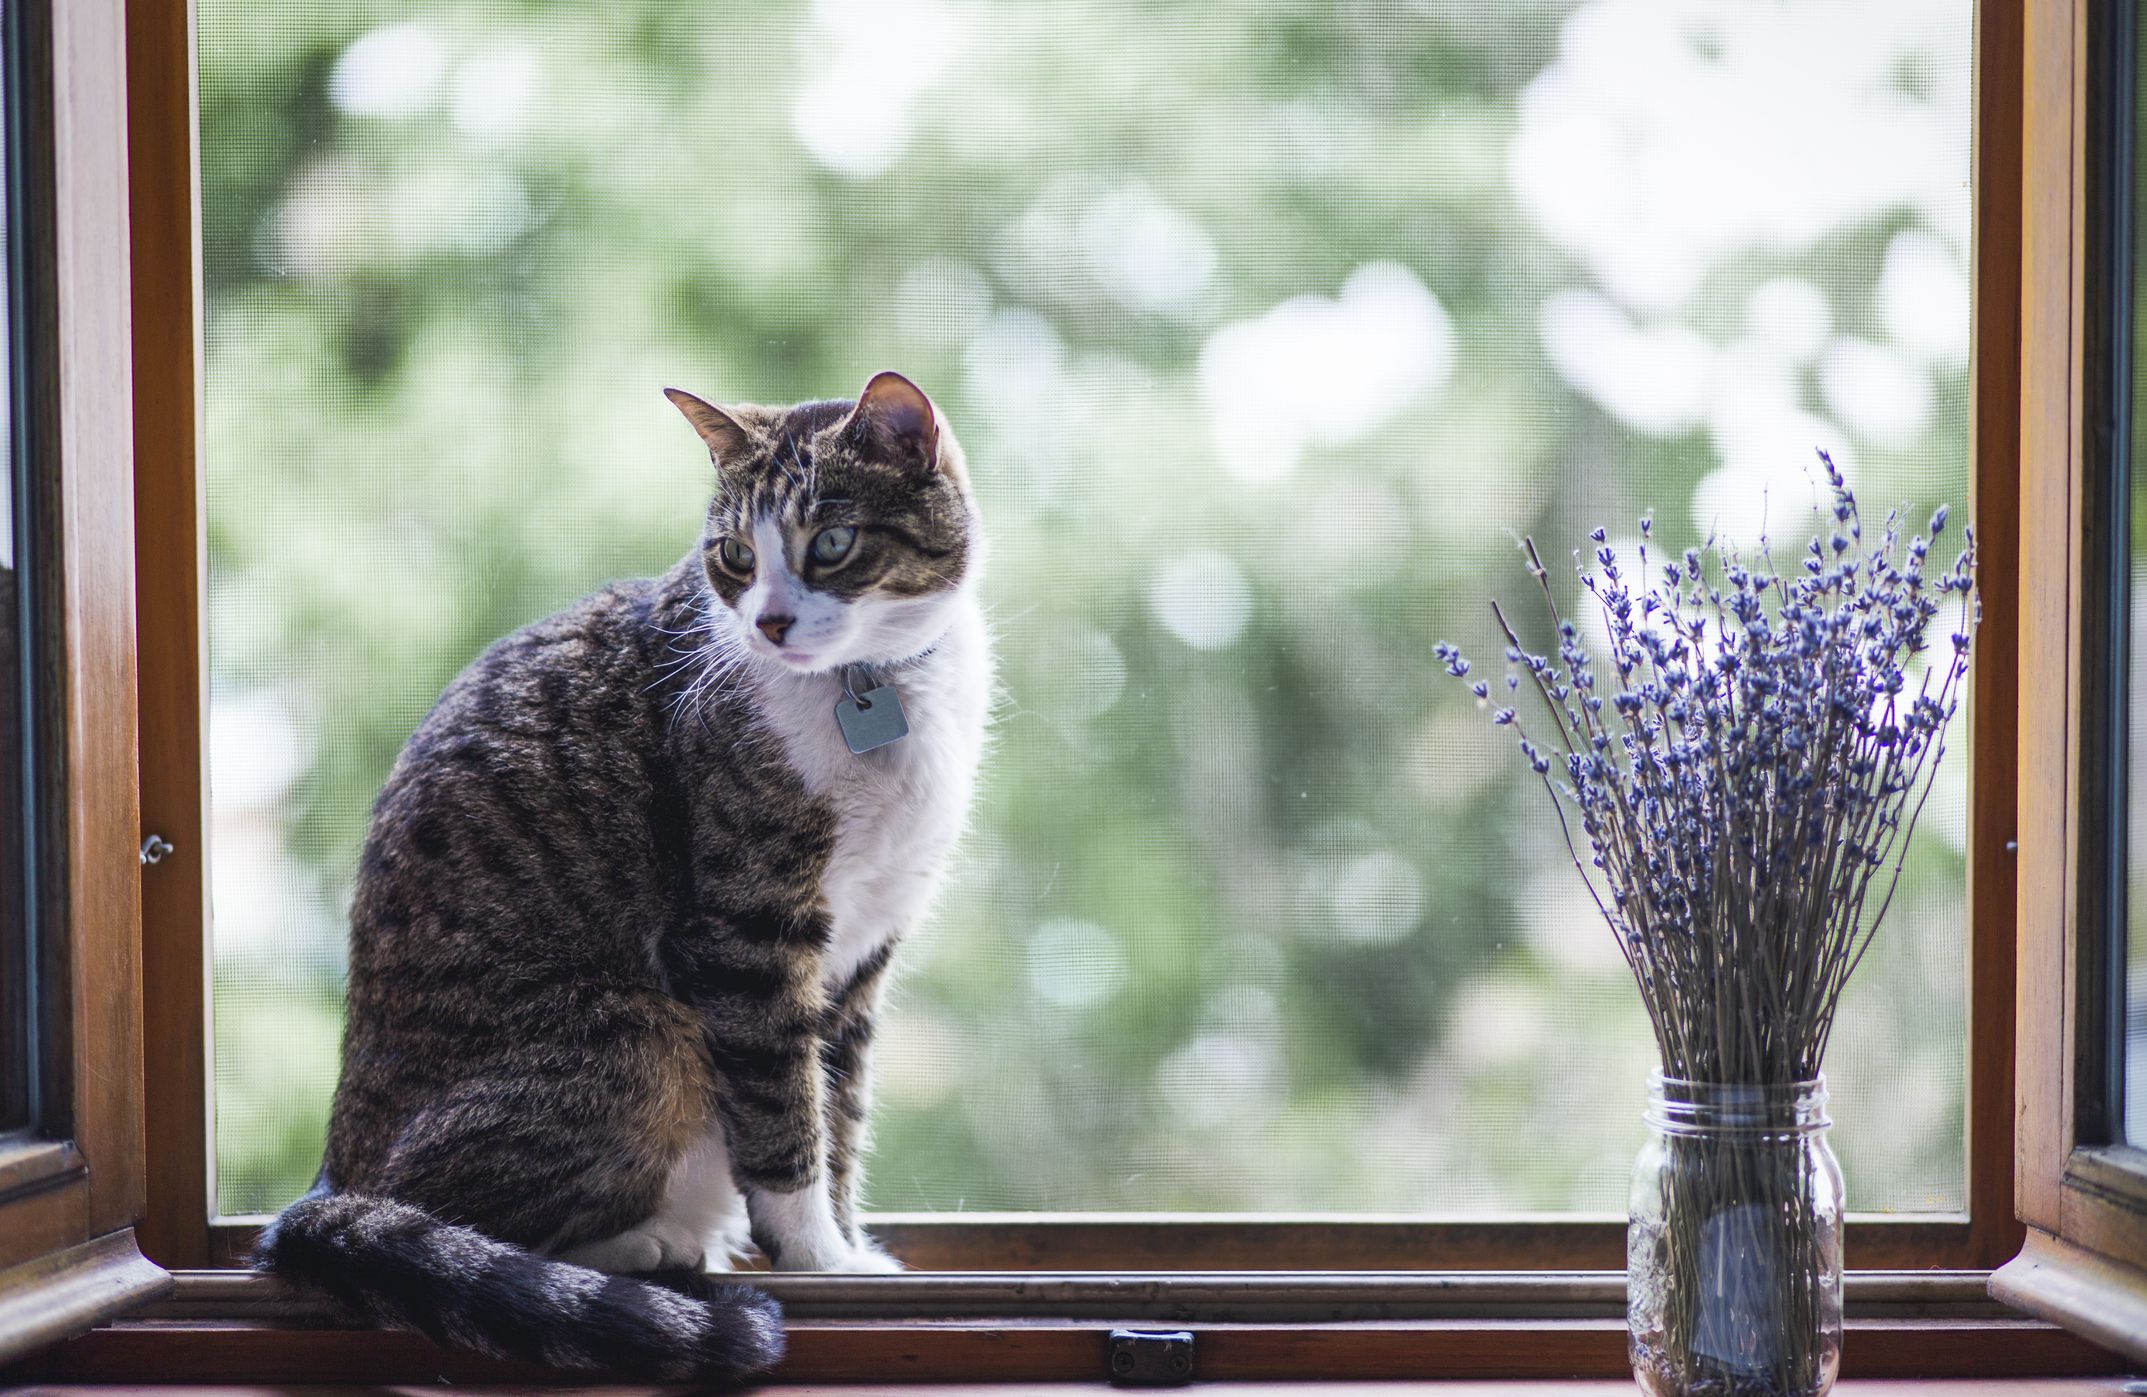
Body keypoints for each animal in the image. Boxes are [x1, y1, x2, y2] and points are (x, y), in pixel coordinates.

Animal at [257, 373, 987, 1390]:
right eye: (733, 555)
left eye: (832, 543)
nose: (768, 622)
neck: (868, 690)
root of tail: (331, 1173)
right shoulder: (749, 931)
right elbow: (784, 1115)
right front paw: (816, 1258)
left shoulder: (864, 952)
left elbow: (840, 1110)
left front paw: (852, 1248)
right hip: (641, 1035)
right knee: (441, 1212)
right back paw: (641, 1251)